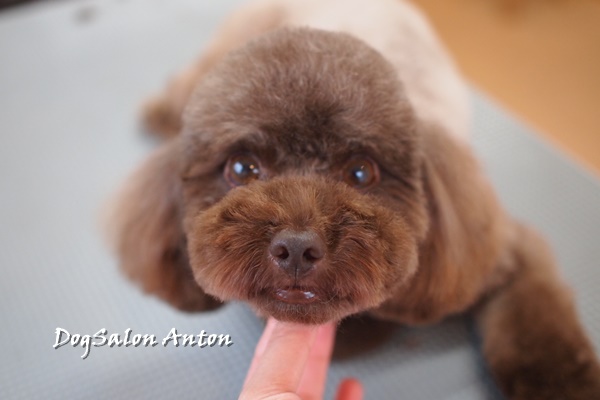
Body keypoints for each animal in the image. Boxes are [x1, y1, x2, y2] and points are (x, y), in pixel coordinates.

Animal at [109, 0, 600, 398]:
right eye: (242, 169)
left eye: (362, 172)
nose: (296, 248)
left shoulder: (487, 249)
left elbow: (538, 319)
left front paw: (563, 383)